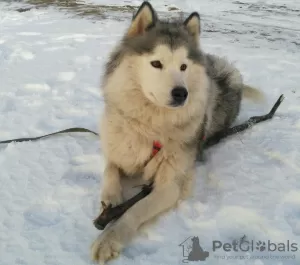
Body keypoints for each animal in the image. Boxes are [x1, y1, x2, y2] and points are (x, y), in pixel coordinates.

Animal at [91, 1, 262, 262]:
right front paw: (110, 200)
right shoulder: (119, 151)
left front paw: (110, 238)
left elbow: (135, 210)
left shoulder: (170, 185)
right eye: (156, 63)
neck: (150, 127)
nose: (181, 93)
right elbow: (110, 172)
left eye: (183, 66)